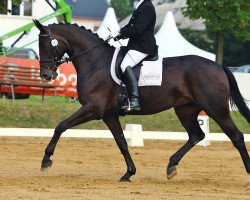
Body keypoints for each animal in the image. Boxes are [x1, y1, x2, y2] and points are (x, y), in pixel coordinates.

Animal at [33, 20, 250, 184]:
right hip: (185, 110)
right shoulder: (109, 115)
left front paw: (46, 160)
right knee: (197, 135)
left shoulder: (93, 109)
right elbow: (121, 142)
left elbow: (61, 126)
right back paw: (171, 166)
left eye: (44, 45)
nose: (46, 75)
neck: (94, 60)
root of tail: (219, 66)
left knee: (237, 137)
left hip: (216, 109)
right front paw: (129, 173)